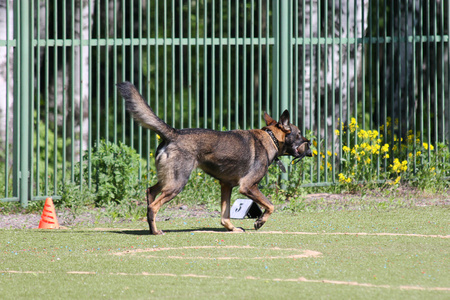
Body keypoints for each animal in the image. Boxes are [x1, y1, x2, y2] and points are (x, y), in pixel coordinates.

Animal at [118, 82, 312, 234]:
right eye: (299, 134)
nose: (310, 148)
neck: (270, 138)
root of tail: (174, 133)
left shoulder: (226, 186)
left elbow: (225, 216)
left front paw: (232, 228)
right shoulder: (248, 187)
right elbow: (271, 205)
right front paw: (259, 221)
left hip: (169, 180)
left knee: (150, 192)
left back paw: (151, 227)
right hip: (177, 183)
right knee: (153, 206)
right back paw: (155, 231)